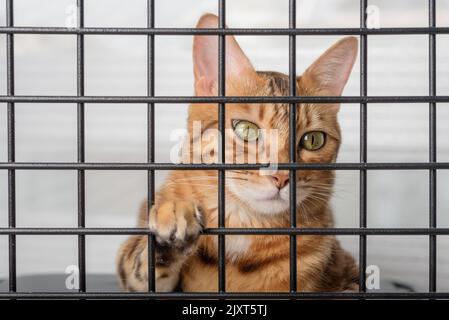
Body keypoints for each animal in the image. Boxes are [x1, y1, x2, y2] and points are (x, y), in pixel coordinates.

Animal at [117, 13, 358, 294]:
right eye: (246, 129)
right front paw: (173, 217)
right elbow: (138, 263)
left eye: (312, 140)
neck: (245, 225)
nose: (281, 177)